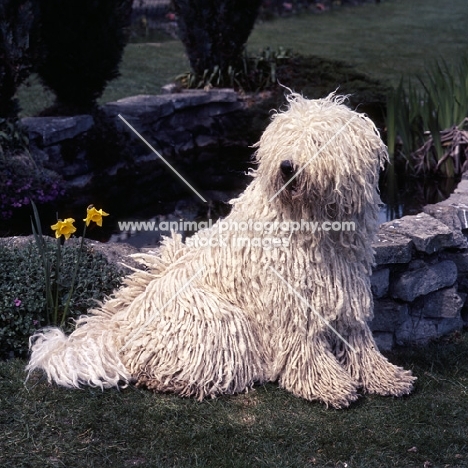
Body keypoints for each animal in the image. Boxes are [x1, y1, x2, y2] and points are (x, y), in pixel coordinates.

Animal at [25, 93, 414, 408]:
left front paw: (386, 377)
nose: (287, 165)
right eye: (287, 140)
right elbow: (305, 345)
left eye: (317, 140)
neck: (311, 222)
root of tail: (120, 329)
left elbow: (358, 337)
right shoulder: (290, 299)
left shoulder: (344, 289)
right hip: (215, 315)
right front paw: (329, 387)